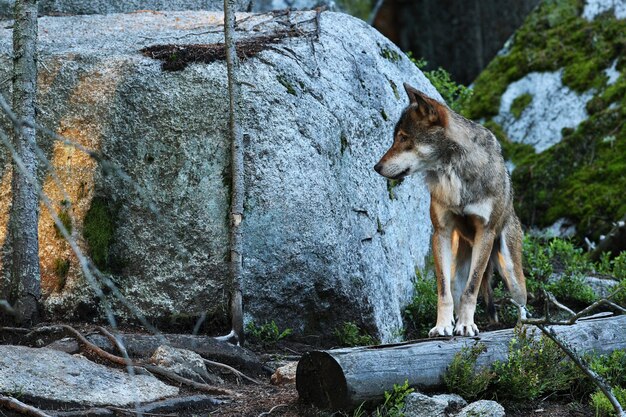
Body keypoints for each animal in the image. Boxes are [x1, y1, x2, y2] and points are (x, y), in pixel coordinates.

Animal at [372, 83, 524, 336]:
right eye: (395, 138)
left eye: (403, 138)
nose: (376, 167)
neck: (453, 172)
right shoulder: (440, 233)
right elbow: (443, 292)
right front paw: (442, 326)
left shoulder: (486, 232)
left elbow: (472, 289)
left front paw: (467, 326)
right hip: (457, 262)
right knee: (455, 290)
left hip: (510, 270)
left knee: (522, 301)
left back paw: (525, 325)